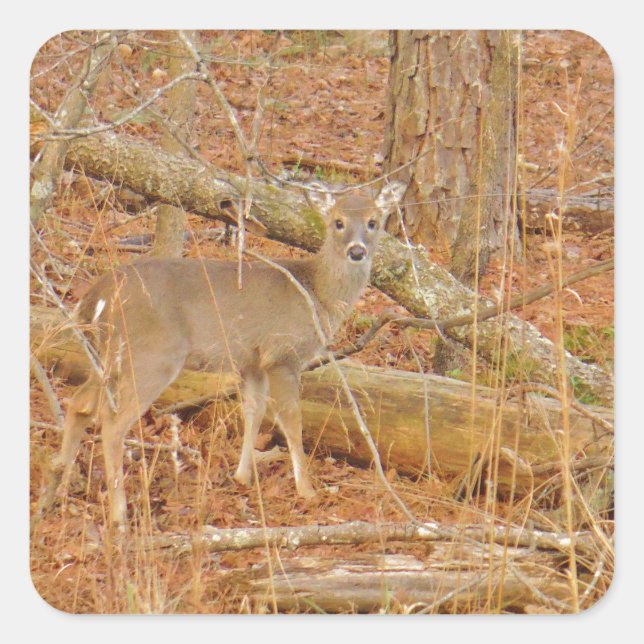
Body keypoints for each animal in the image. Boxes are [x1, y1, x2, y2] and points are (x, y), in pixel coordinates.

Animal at [38, 182, 405, 528]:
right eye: (338, 222)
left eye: (373, 222)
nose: (356, 251)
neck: (318, 296)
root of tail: (98, 293)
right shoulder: (282, 354)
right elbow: (291, 419)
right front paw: (308, 490)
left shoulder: (252, 362)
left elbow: (254, 411)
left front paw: (242, 476)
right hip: (152, 355)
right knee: (113, 422)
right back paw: (118, 514)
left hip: (109, 357)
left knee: (80, 403)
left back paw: (57, 488)